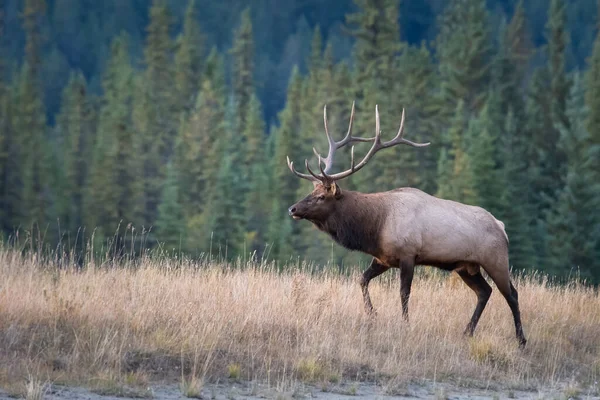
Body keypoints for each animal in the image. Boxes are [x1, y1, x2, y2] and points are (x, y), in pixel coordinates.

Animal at [286, 102, 524, 346]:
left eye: (321, 196)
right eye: (312, 191)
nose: (292, 209)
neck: (375, 226)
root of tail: (502, 227)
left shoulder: (408, 254)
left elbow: (404, 292)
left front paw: (405, 324)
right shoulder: (383, 258)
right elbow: (362, 279)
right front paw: (372, 314)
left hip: (496, 259)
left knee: (512, 294)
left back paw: (521, 339)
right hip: (467, 266)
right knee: (484, 292)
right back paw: (468, 331)